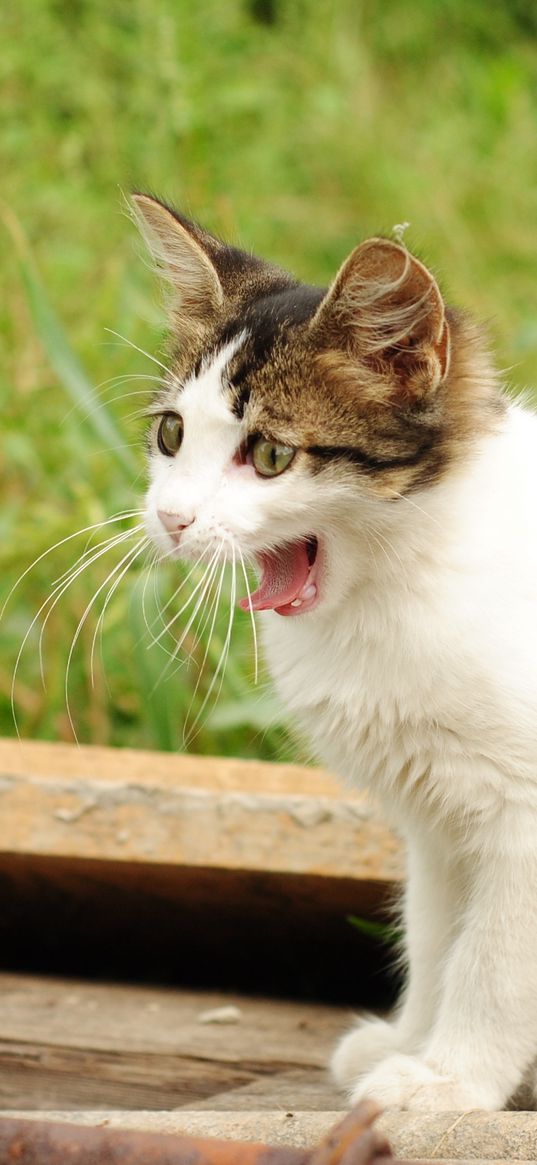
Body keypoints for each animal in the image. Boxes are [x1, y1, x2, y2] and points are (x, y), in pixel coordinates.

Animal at [131, 195, 535, 1113]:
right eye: (171, 434)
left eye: (271, 454)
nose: (169, 518)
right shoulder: (438, 815)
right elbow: (434, 931)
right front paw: (412, 1039)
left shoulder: (521, 818)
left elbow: (492, 957)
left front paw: (450, 1078)